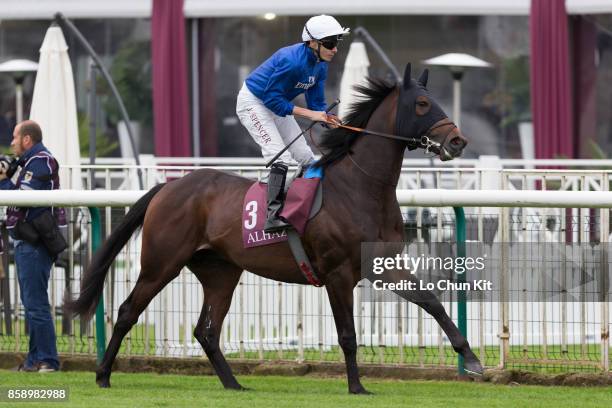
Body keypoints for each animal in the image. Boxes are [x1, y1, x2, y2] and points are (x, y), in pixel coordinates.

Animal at [67, 65, 482, 394]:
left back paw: (233, 383)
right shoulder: (338, 274)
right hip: (162, 262)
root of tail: (169, 187)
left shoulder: (383, 265)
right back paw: (103, 375)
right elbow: (347, 335)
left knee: (206, 331)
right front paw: (357, 386)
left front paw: (472, 359)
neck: (361, 188)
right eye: (423, 104)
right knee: (127, 312)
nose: (458, 140)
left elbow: (432, 302)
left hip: (221, 271)